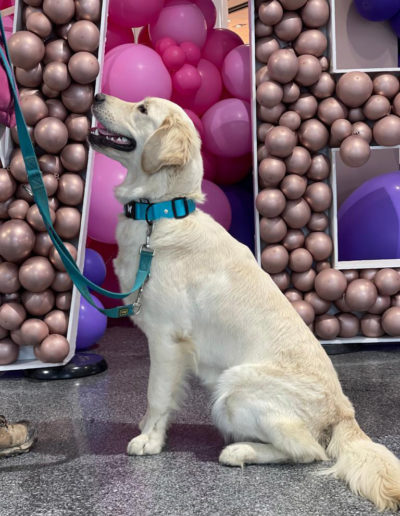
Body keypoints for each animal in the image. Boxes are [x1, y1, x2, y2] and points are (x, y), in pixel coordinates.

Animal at [89, 93, 400, 511]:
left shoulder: (167, 339)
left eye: (142, 109)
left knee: (310, 451)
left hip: (234, 387)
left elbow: (157, 395)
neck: (161, 213)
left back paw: (239, 451)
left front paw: (149, 440)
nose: (97, 96)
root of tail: (343, 413)